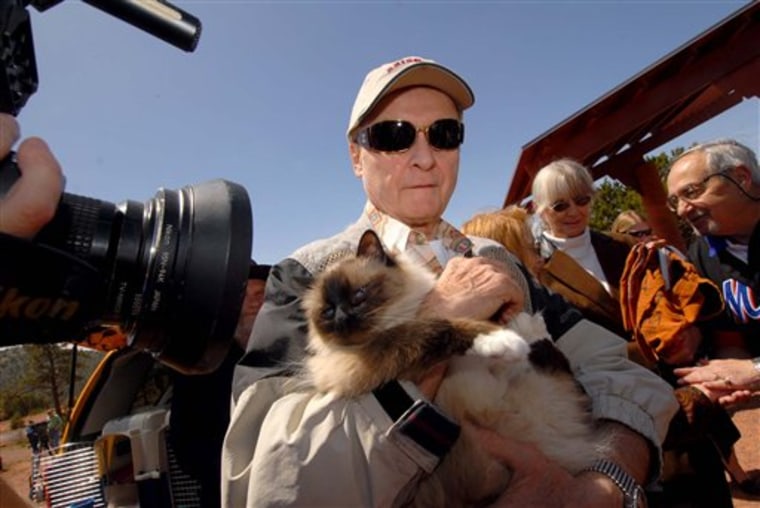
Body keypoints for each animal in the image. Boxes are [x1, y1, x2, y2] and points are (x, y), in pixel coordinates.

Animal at [302, 231, 604, 508]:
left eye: (358, 296)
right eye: (327, 312)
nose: (341, 319)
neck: (400, 314)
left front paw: (511, 327)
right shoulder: (369, 358)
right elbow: (437, 328)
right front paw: (499, 339)